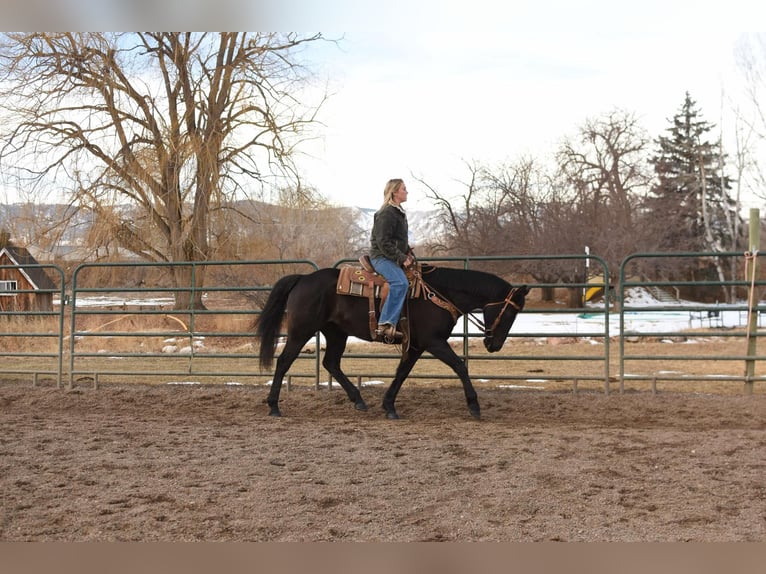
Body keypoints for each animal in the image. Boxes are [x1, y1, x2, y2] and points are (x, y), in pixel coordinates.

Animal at [254, 263, 529, 419]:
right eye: (511, 314)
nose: (494, 345)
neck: (439, 294)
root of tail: (303, 278)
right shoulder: (433, 341)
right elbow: (460, 366)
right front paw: (474, 406)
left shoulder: (416, 345)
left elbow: (402, 372)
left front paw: (389, 406)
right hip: (301, 331)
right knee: (284, 361)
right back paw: (274, 406)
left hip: (336, 333)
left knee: (331, 363)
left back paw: (359, 400)